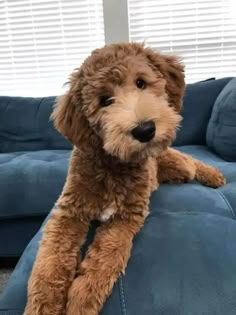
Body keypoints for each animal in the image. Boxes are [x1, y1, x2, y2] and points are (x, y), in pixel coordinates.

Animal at [23, 42, 225, 315]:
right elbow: (50, 262)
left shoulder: (125, 217)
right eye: (104, 100)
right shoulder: (70, 212)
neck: (113, 165)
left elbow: (104, 259)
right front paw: (43, 305)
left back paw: (214, 176)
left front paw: (80, 301)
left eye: (141, 82)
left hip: (177, 162)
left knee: (191, 161)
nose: (145, 130)